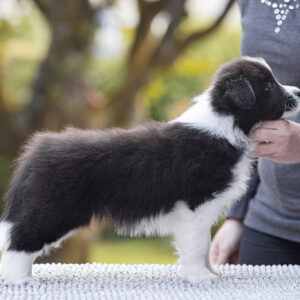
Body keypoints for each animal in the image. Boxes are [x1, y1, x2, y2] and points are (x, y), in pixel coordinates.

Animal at [0, 56, 300, 284]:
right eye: (268, 86)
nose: (297, 92)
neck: (224, 125)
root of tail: (38, 149)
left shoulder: (202, 211)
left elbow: (203, 245)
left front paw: (209, 272)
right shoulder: (197, 205)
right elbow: (198, 245)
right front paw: (201, 278)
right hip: (55, 208)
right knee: (21, 239)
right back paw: (20, 279)